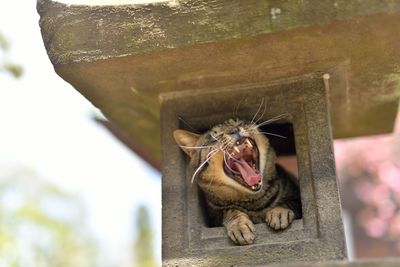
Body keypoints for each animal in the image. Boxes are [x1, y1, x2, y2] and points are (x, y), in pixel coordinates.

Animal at [173, 118, 302, 246]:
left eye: (238, 122)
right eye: (214, 136)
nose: (234, 130)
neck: (254, 201)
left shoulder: (296, 197)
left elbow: (287, 203)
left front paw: (279, 212)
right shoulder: (214, 216)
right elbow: (230, 210)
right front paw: (239, 226)